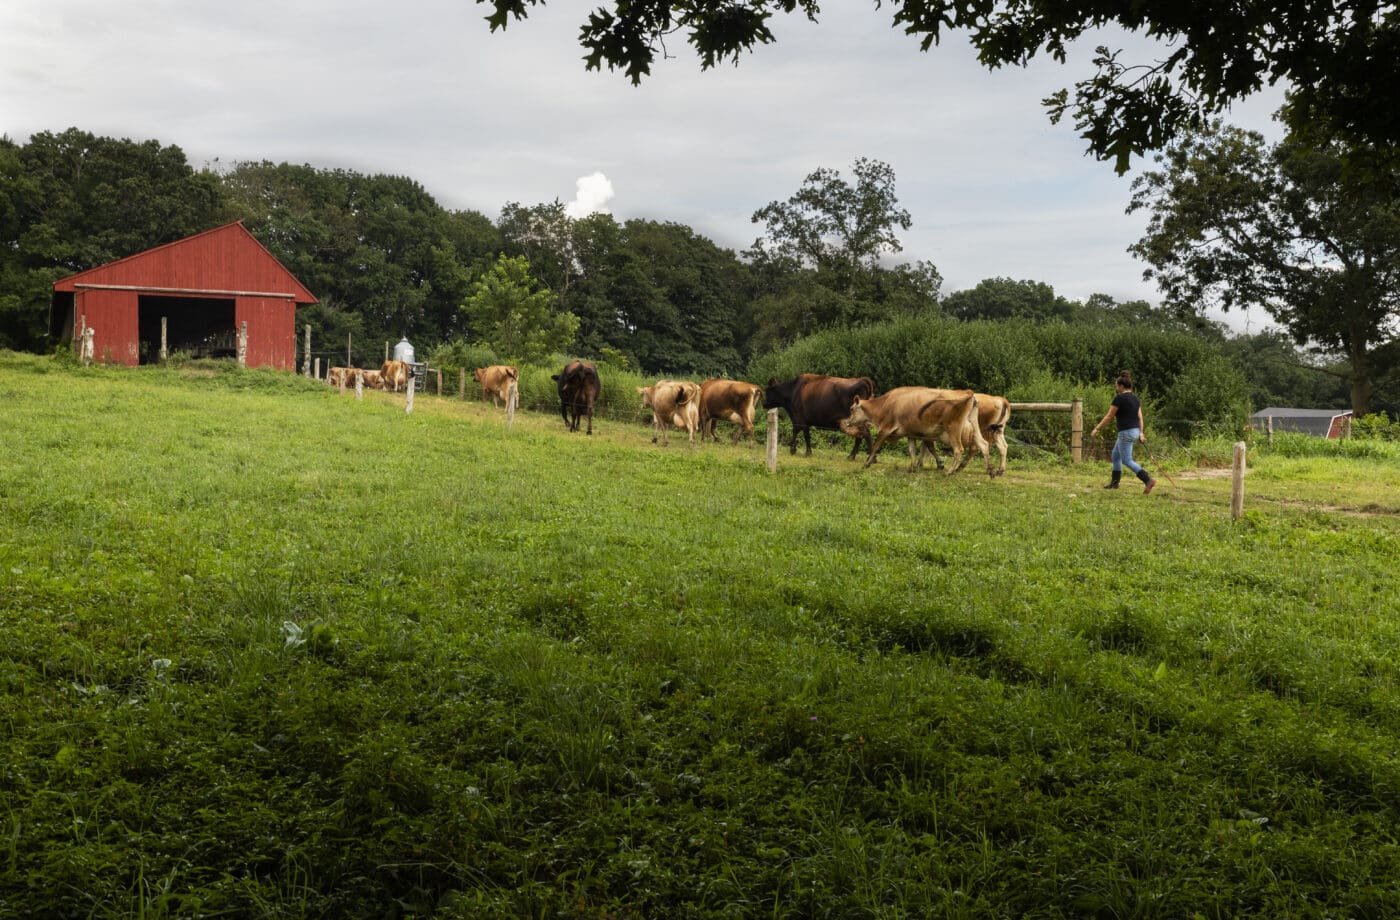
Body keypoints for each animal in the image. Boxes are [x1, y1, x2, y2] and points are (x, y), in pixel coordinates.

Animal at [840, 386, 996, 473]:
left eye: (851, 408)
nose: (847, 422)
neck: (886, 404)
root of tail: (968, 393)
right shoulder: (911, 433)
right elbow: (912, 450)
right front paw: (912, 467)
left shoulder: (885, 429)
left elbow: (875, 446)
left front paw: (866, 463)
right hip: (974, 427)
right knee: (983, 445)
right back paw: (990, 471)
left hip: (953, 428)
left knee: (959, 449)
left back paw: (950, 471)